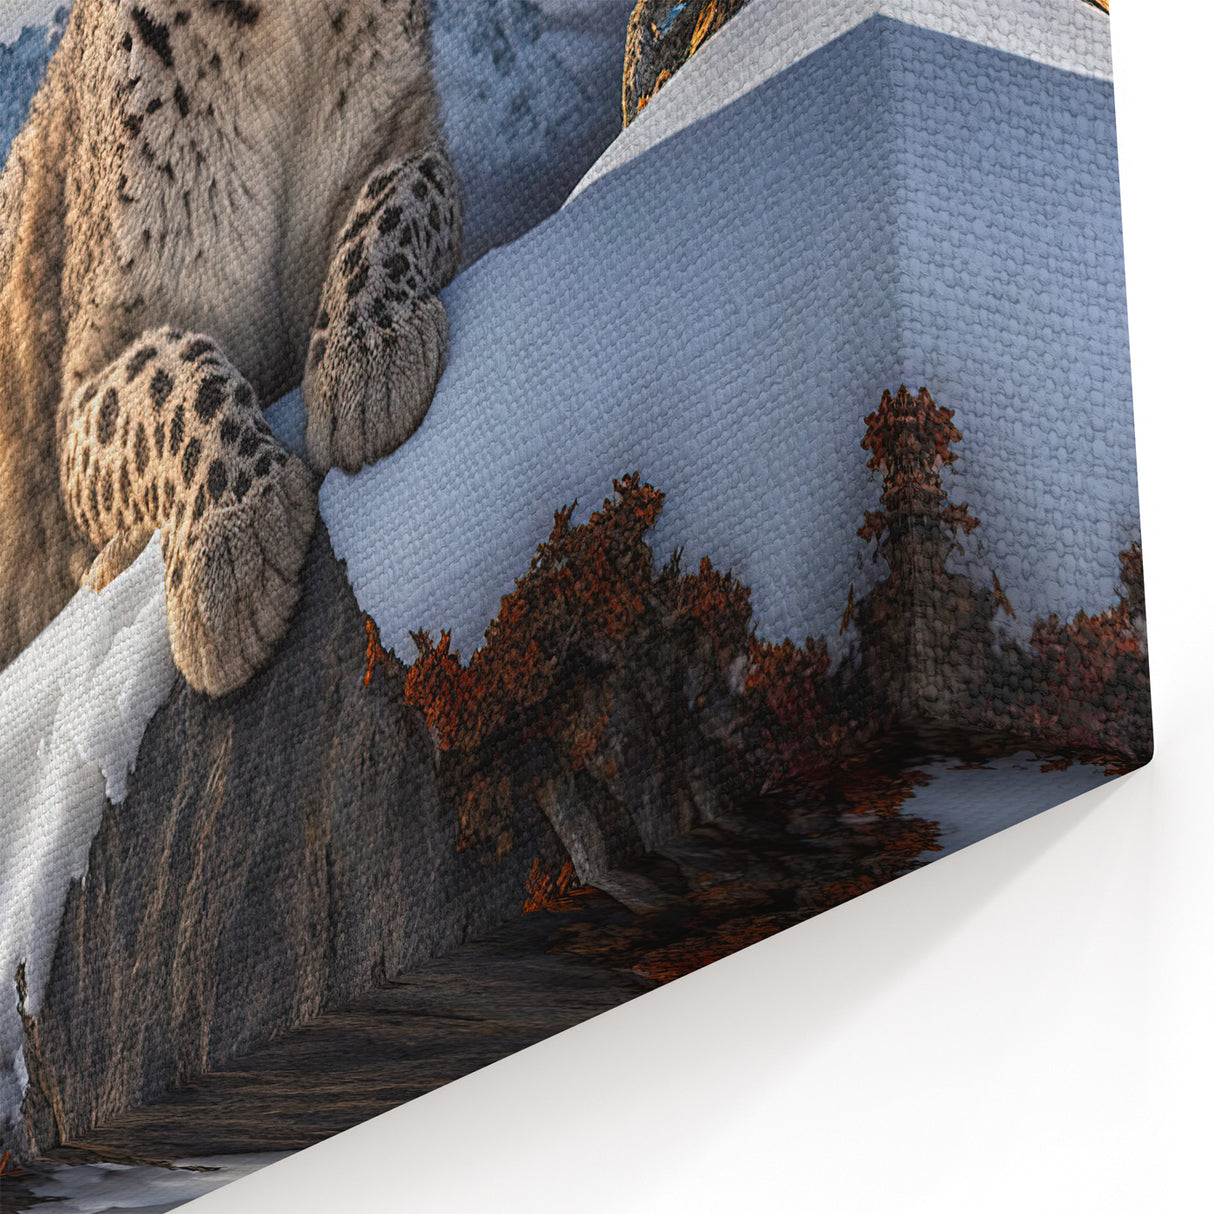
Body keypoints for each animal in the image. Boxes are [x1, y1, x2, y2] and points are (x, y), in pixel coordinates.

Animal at [0, 0, 463, 696]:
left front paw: (366, 360)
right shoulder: (88, 370)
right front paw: (232, 557)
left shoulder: (394, 129)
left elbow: (407, 189)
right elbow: (164, 369)